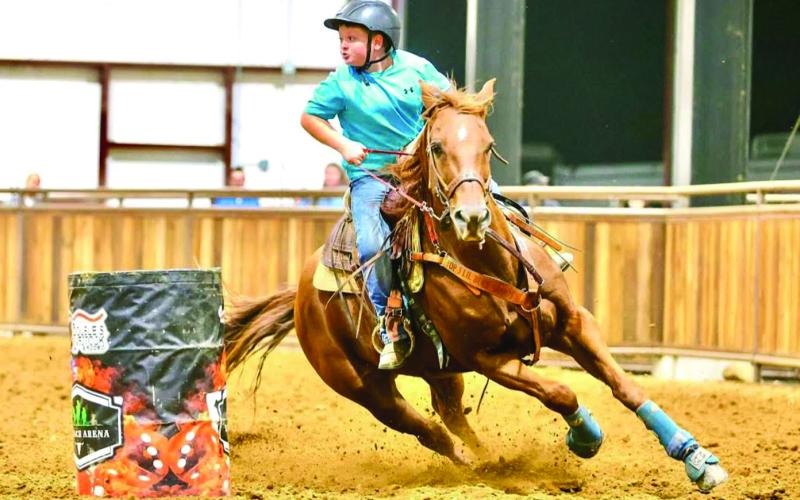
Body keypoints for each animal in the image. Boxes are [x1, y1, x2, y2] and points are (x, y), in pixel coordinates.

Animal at [224, 79, 728, 493]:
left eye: (488, 145)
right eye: (437, 147)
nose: (471, 216)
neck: (493, 267)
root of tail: (300, 294)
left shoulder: (574, 323)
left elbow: (625, 387)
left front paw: (696, 458)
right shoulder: (487, 357)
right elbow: (559, 392)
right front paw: (585, 436)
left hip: (440, 371)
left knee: (451, 419)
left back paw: (493, 461)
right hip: (362, 386)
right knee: (429, 431)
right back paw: (486, 470)